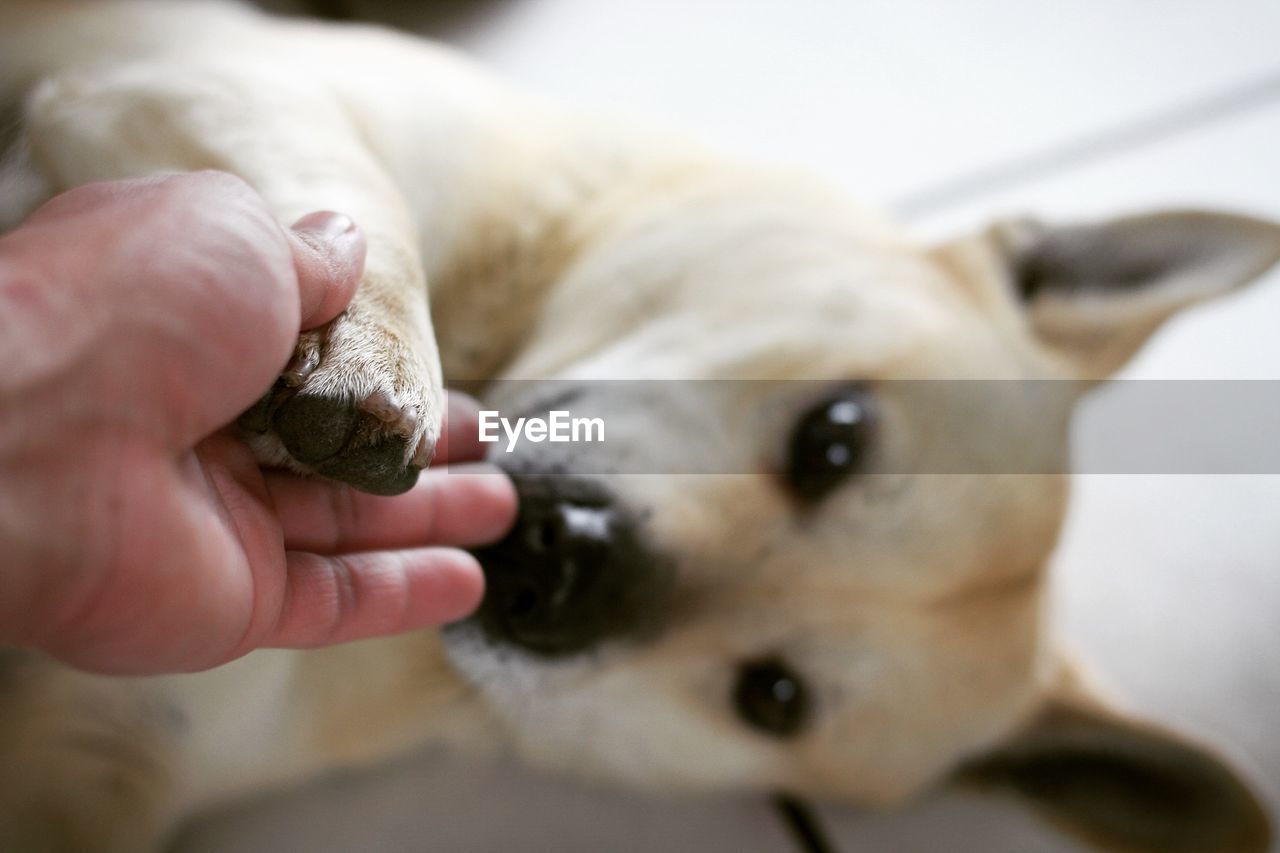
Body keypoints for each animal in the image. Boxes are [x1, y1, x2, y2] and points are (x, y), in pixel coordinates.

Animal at [2, 1, 1280, 850]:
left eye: (771, 697)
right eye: (832, 438)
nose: (553, 567)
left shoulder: (101, 767)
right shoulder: (181, 66)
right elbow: (360, 195)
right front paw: (379, 346)